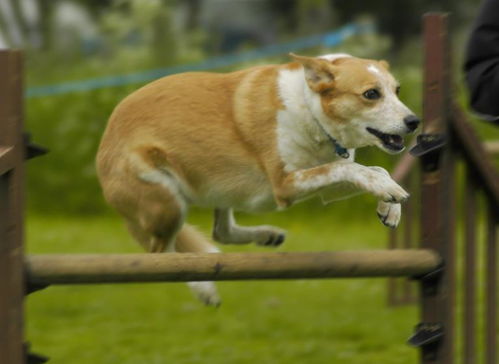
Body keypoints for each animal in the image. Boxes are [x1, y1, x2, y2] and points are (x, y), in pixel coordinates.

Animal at [95, 52, 420, 306]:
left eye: (397, 90)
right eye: (371, 94)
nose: (414, 121)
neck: (310, 109)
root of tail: (103, 146)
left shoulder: (325, 185)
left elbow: (372, 170)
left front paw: (390, 205)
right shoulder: (286, 184)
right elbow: (352, 169)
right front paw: (388, 192)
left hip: (219, 187)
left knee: (220, 232)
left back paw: (266, 235)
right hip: (166, 200)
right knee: (162, 255)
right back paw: (203, 288)